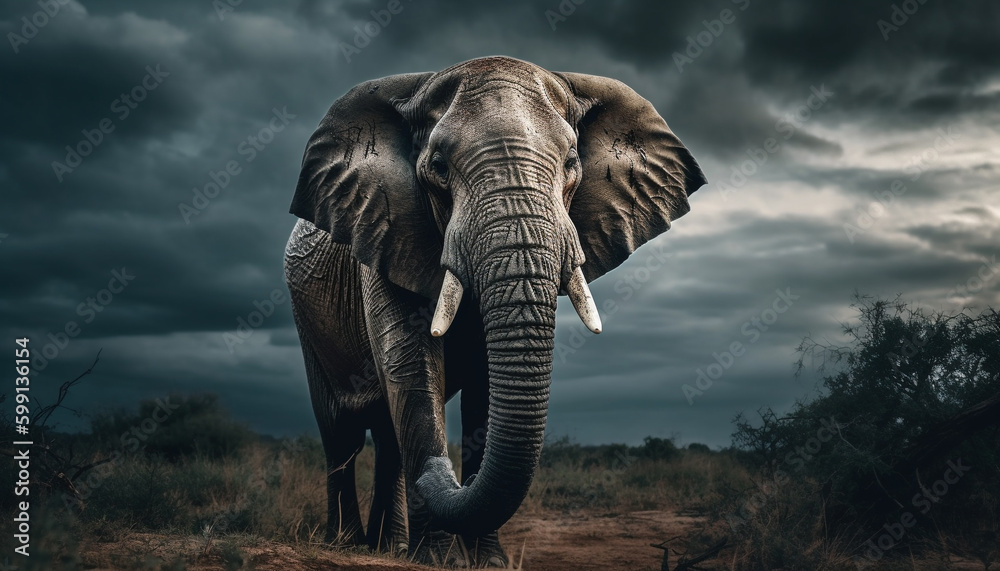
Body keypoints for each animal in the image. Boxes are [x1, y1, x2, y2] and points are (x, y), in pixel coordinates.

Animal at [283, 56, 705, 567]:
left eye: (571, 163)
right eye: (438, 167)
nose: (438, 471)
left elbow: (485, 388)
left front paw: (488, 562)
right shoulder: (385, 229)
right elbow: (412, 368)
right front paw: (439, 560)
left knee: (385, 432)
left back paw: (389, 546)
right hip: (306, 317)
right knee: (340, 429)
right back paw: (345, 543)